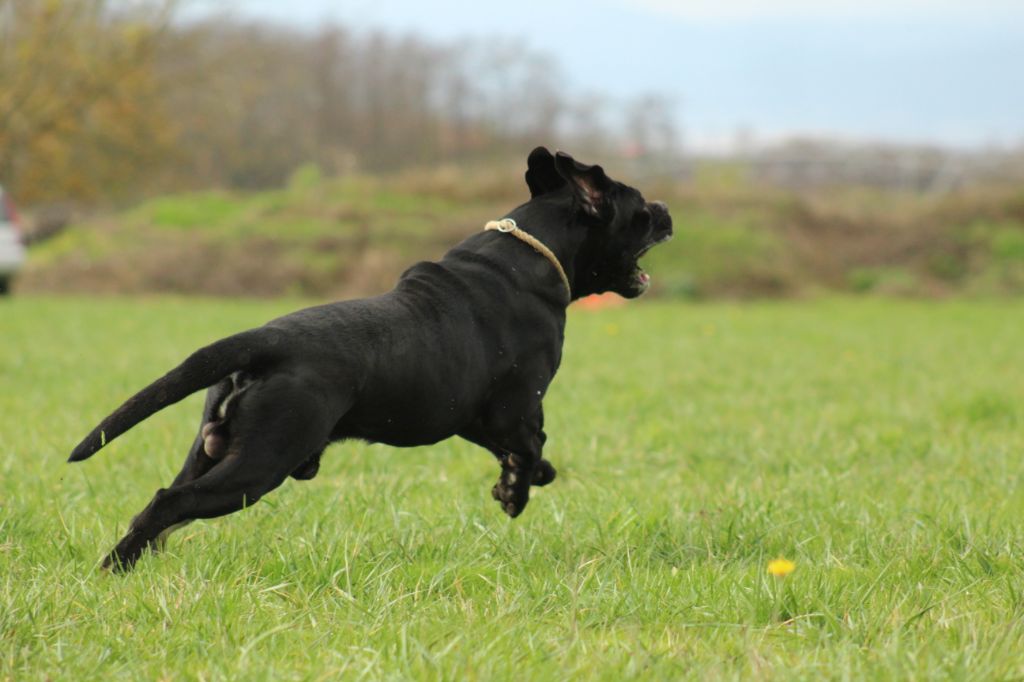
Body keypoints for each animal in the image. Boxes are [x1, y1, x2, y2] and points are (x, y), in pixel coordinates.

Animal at [70, 147, 671, 569]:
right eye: (639, 208)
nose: (666, 208)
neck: (534, 252)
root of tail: (263, 340)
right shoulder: (515, 408)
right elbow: (530, 447)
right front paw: (515, 495)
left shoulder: (470, 415)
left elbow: (525, 453)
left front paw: (520, 482)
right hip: (261, 462)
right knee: (167, 504)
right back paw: (116, 571)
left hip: (212, 449)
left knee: (164, 506)